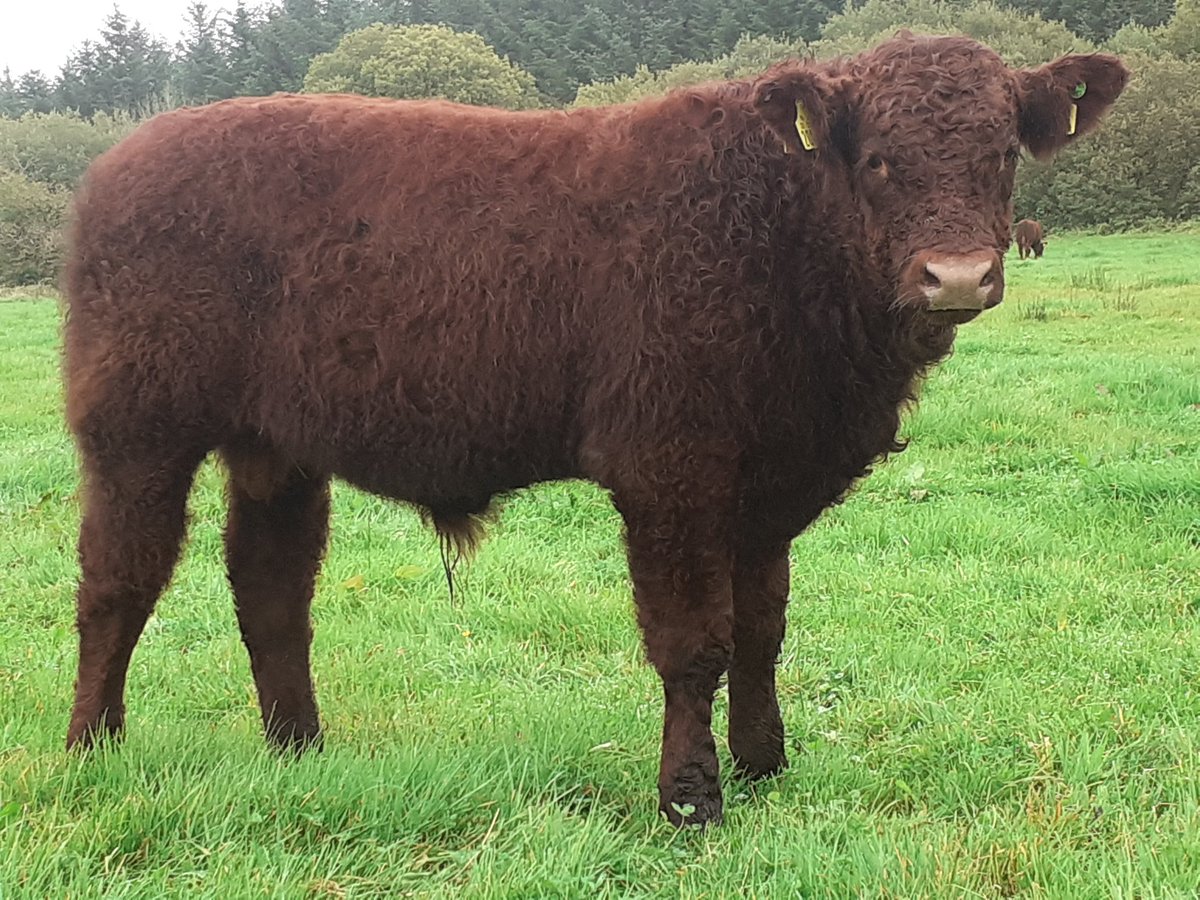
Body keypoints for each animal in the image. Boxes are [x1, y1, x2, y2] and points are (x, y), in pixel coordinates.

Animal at [61, 33, 1127, 827]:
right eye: (877, 159)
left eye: (1003, 152)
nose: (956, 276)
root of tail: (120, 161)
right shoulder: (673, 469)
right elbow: (694, 641)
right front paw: (691, 799)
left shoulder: (769, 487)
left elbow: (764, 630)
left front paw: (764, 766)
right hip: (136, 431)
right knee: (118, 585)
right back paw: (90, 751)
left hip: (276, 449)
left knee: (271, 591)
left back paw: (300, 752)